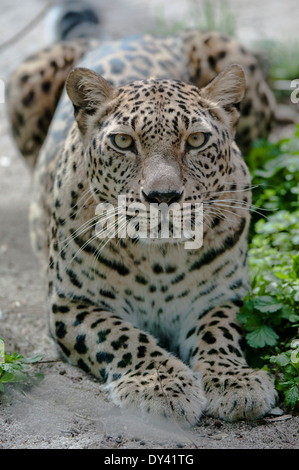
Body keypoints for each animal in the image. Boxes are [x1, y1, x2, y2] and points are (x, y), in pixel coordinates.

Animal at [6, 17, 278, 426]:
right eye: (123, 142)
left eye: (196, 140)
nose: (162, 196)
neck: (160, 259)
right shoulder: (70, 303)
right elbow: (121, 336)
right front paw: (162, 386)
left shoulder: (222, 296)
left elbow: (219, 332)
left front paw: (235, 380)